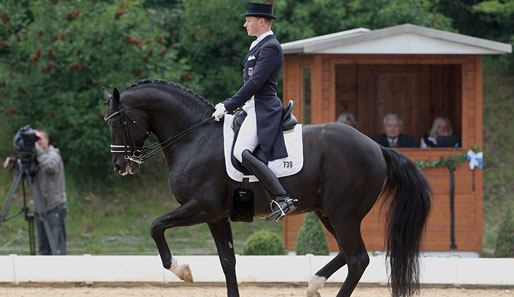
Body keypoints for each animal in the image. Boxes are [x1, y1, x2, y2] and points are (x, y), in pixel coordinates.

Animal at [102, 79, 430, 296]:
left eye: (116, 123)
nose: (119, 166)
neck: (195, 139)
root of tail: (376, 146)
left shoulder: (201, 207)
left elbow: (156, 226)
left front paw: (181, 270)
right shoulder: (216, 216)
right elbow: (227, 261)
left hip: (344, 214)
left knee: (358, 259)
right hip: (328, 212)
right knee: (348, 254)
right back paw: (314, 283)